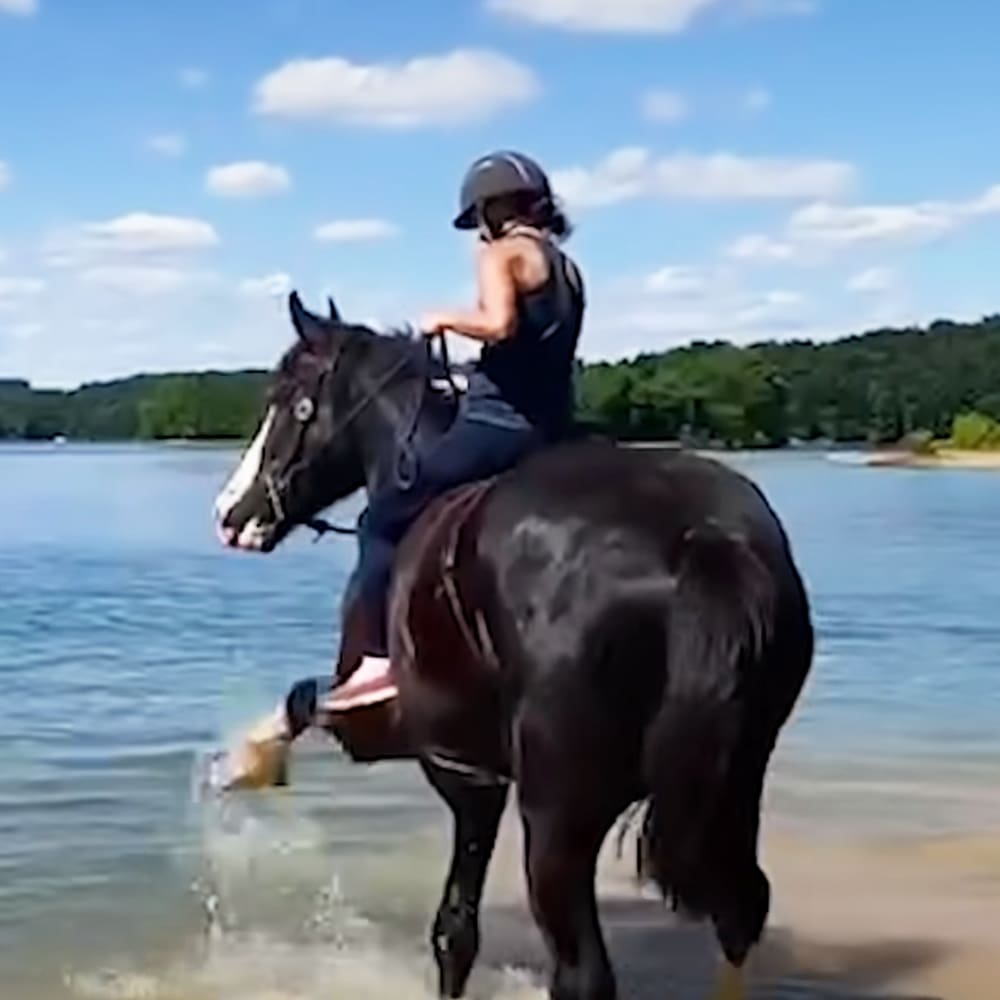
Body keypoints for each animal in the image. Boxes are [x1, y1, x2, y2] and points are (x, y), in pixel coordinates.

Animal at [211, 291, 814, 1000]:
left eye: (286, 399)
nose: (231, 514)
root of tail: (705, 541)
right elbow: (458, 931)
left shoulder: (429, 752)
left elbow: (451, 930)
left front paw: (244, 761)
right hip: (732, 784)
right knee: (740, 912)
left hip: (558, 816)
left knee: (584, 971)